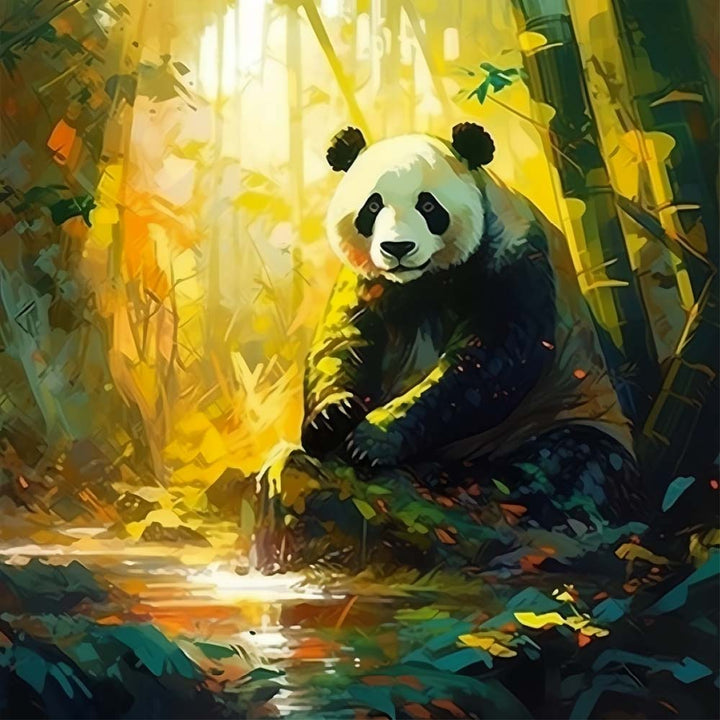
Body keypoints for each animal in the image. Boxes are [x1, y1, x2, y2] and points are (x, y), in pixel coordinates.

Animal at [299, 123, 644, 532]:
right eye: (373, 206)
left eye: (428, 206)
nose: (397, 248)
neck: (425, 279)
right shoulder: (369, 281)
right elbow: (343, 339)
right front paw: (331, 419)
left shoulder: (512, 255)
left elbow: (491, 359)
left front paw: (374, 439)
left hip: (565, 413)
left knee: (570, 467)